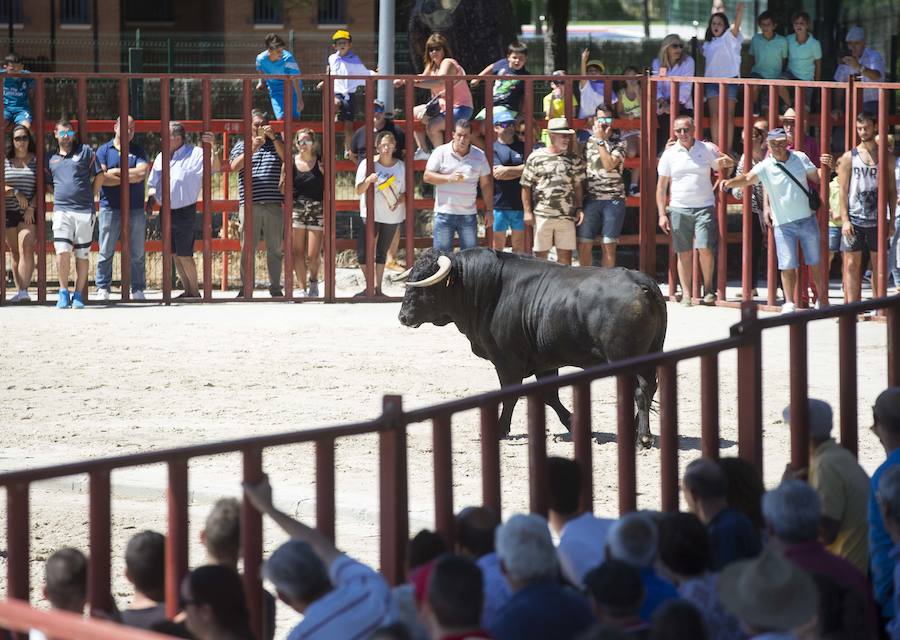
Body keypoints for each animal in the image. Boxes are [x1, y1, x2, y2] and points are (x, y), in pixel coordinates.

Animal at [396, 248, 668, 448]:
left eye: (426, 285)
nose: (403, 317)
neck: (488, 289)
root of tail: (641, 283)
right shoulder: (545, 362)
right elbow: (550, 396)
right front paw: (575, 424)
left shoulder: (508, 362)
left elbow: (510, 395)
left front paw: (500, 429)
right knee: (649, 388)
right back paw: (637, 431)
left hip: (622, 358)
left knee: (640, 391)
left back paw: (642, 437)